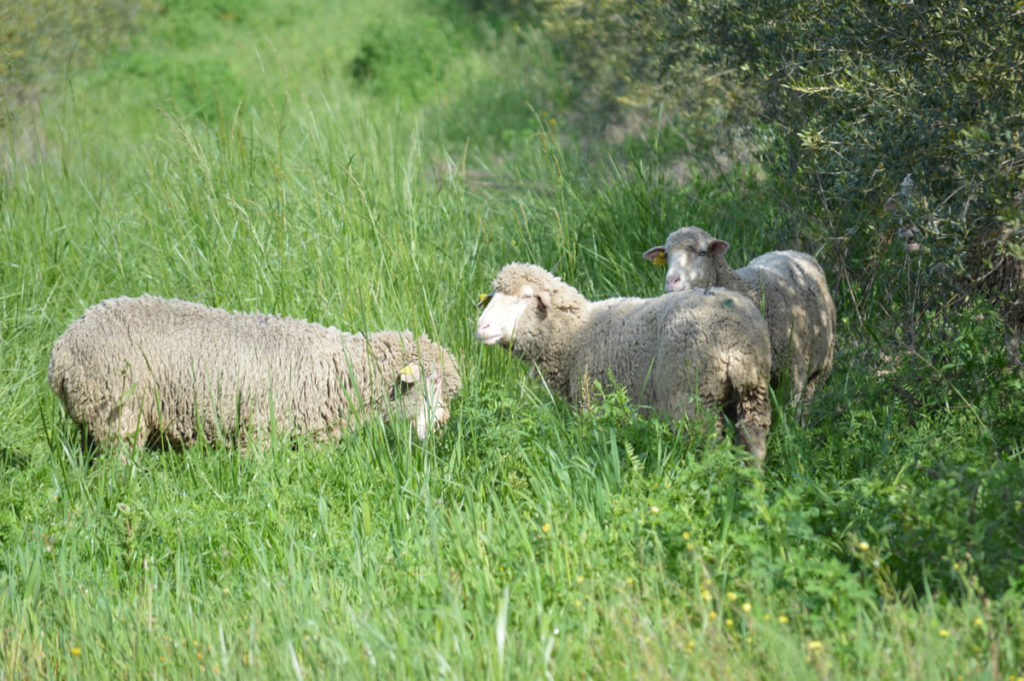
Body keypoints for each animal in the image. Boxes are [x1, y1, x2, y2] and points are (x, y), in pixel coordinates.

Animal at [476, 263, 773, 465]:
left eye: (526, 297)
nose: (481, 327)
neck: (576, 335)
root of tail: (737, 340)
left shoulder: (592, 405)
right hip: (753, 394)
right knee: (754, 442)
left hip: (692, 397)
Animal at [643, 226, 836, 420]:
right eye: (667, 255)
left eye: (702, 252)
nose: (672, 281)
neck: (747, 290)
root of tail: (792, 251)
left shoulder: (794, 373)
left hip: (823, 363)